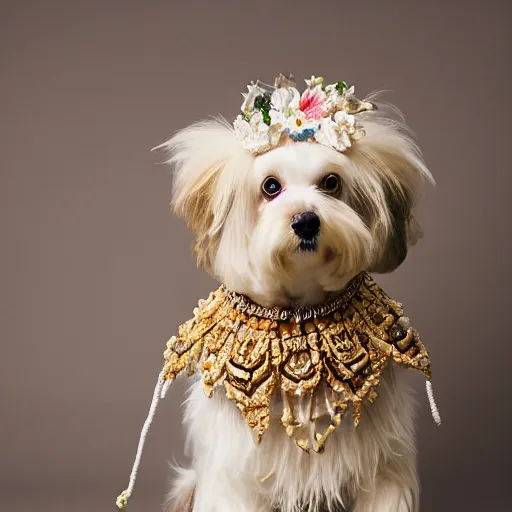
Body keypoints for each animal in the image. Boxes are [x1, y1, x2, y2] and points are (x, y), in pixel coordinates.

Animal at [158, 76, 434, 512]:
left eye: (332, 183)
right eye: (270, 186)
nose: (306, 221)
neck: (302, 311)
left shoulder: (382, 469)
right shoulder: (236, 475)